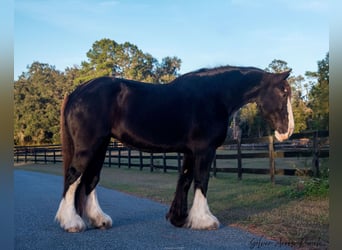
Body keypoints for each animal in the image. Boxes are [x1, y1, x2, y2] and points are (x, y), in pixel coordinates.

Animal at [54, 65, 292, 232]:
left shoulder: (190, 151)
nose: (287, 131)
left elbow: (185, 179)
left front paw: (179, 218)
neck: (214, 95)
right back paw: (71, 222)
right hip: (88, 146)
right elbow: (201, 180)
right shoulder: (205, 150)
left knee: (90, 179)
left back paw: (99, 220)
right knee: (74, 176)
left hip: (101, 146)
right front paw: (205, 220)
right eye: (283, 92)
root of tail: (77, 91)